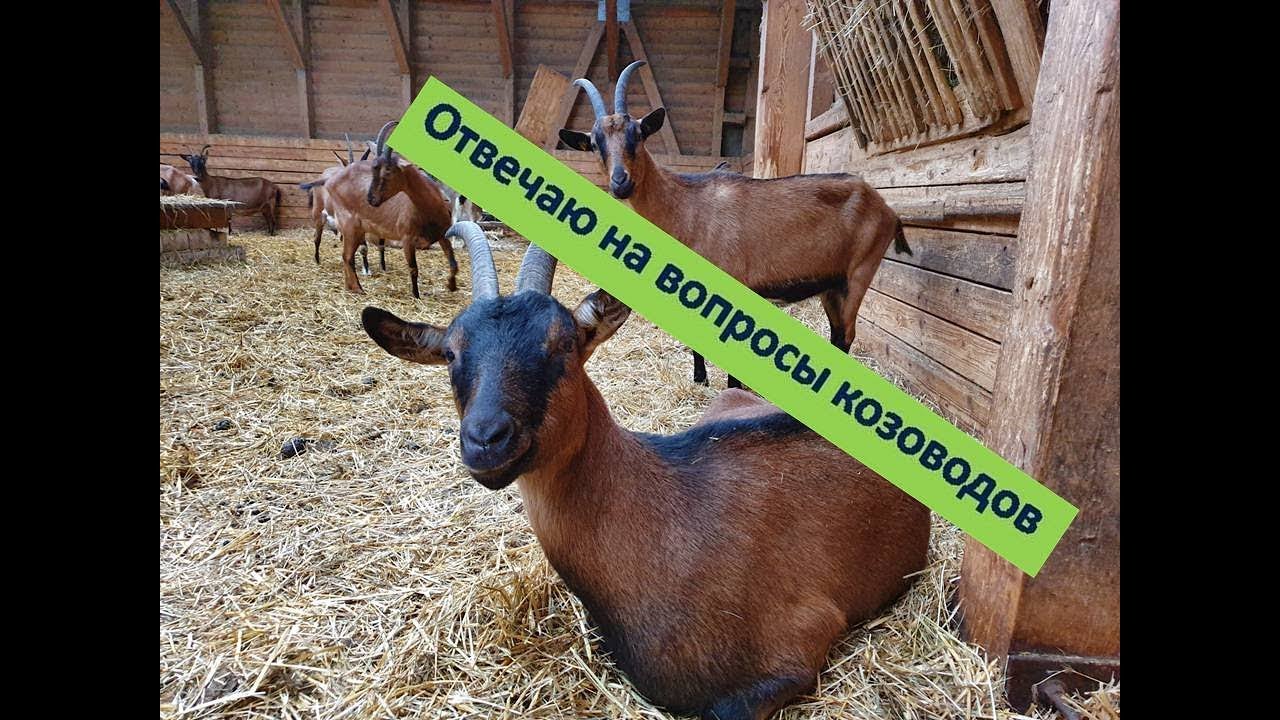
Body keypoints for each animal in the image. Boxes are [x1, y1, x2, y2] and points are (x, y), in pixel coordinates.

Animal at [319, 122, 458, 298]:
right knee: (347, 256)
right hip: (350, 227)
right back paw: (358, 288)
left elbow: (453, 263)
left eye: (388, 170)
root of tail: (332, 182)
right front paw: (416, 295)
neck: (429, 209)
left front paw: (451, 286)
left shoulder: (443, 235)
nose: (371, 199)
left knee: (347, 256)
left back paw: (350, 287)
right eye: (373, 169)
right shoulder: (407, 239)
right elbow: (413, 268)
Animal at [560, 61, 910, 388]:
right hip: (831, 285)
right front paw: (700, 379)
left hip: (859, 273)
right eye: (595, 143)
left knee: (845, 336)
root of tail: (886, 209)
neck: (684, 207)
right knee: (838, 335)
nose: (621, 182)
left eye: (638, 134)